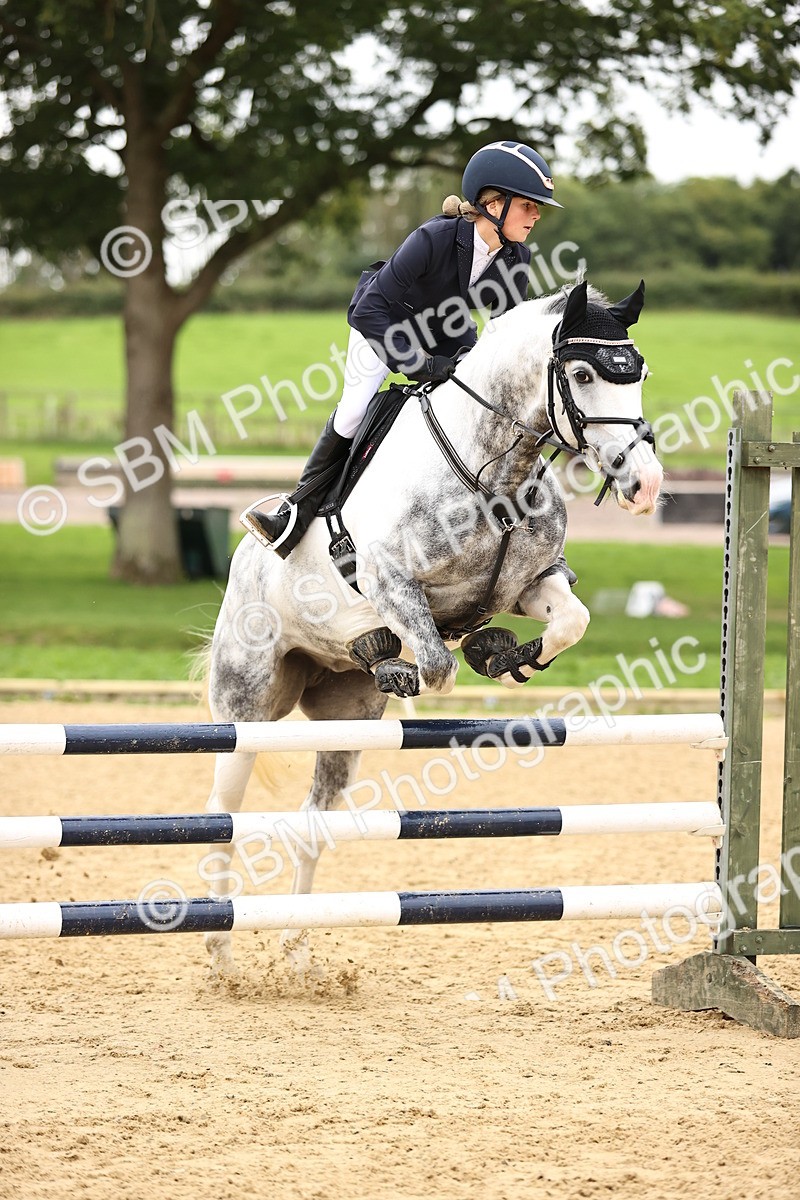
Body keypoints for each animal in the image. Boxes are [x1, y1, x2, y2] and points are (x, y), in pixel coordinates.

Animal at [203, 279, 663, 974]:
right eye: (583, 374)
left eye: (639, 373)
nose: (646, 484)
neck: (493, 468)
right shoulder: (391, 580)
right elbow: (437, 664)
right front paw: (413, 660)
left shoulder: (531, 582)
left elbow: (570, 621)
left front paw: (501, 653)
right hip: (246, 708)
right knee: (222, 815)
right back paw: (221, 955)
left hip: (345, 718)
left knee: (314, 817)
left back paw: (297, 948)